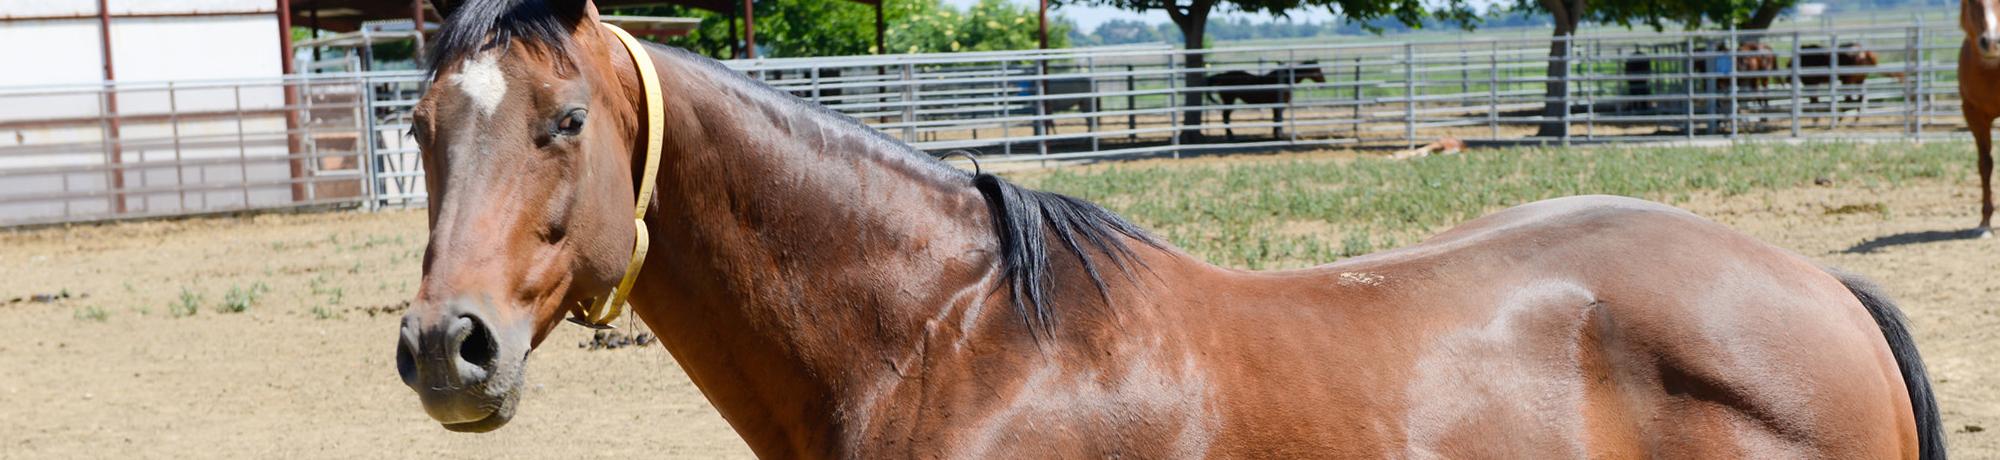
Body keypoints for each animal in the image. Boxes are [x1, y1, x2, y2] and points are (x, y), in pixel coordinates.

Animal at [1200, 62, 1328, 140]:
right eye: (1318, 70)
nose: (1323, 83)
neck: (1283, 80)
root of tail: (1223, 75)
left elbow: (1277, 119)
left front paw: (1277, 134)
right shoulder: (1277, 105)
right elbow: (1277, 119)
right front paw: (1277, 135)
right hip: (1229, 100)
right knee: (1225, 116)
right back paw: (1231, 135)